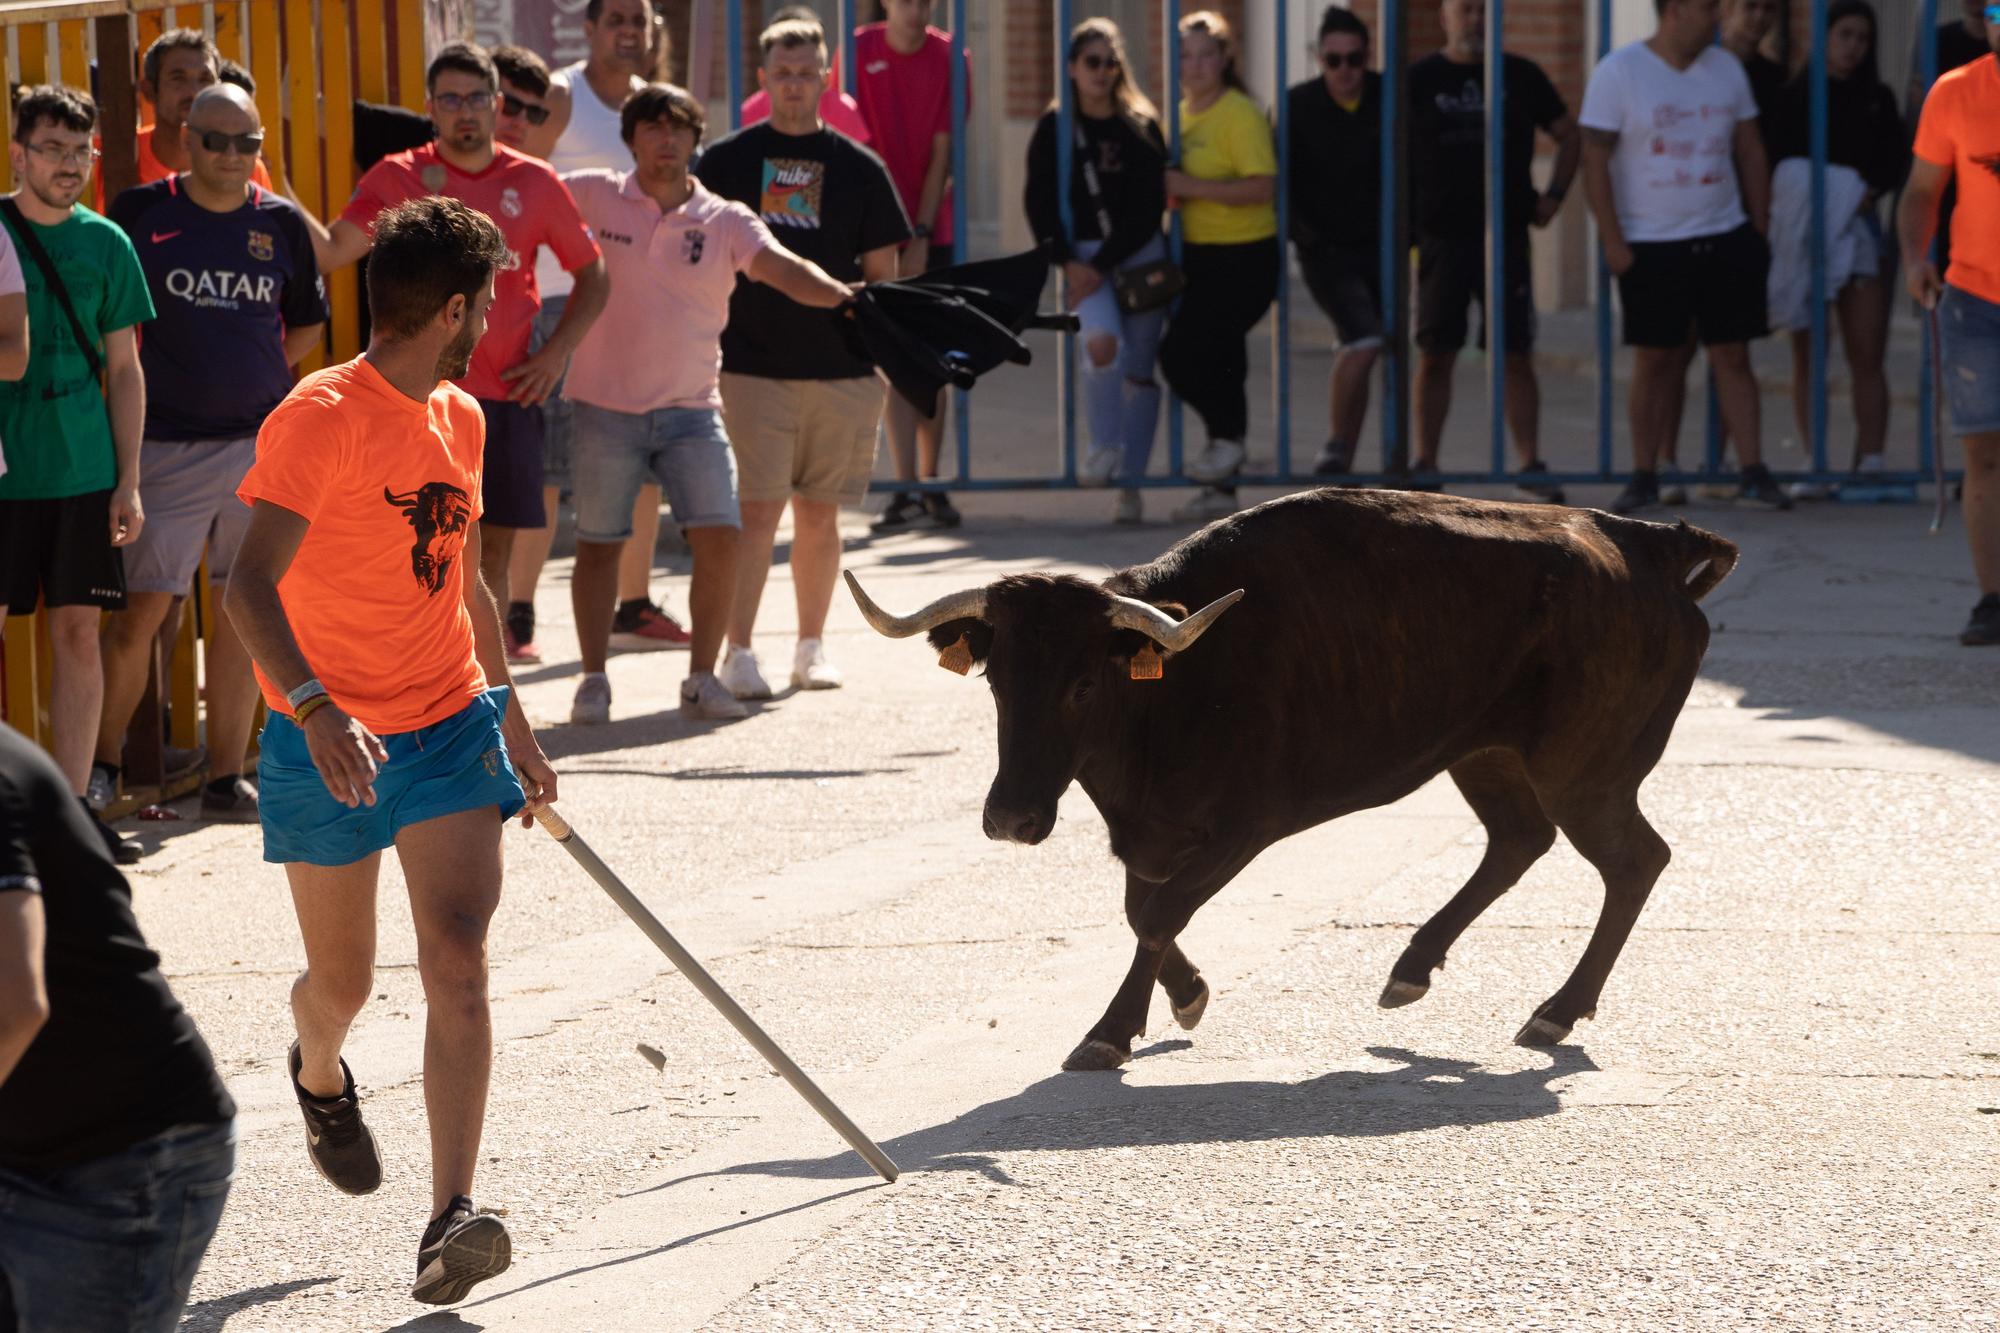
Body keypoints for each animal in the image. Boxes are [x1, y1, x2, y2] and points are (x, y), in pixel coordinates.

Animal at [844, 488, 1736, 1072]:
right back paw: (1414, 968)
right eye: (995, 679)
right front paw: (1184, 993)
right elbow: (1141, 910)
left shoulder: (1243, 826)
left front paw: (1112, 1028)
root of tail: (1649, 546)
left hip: (1584, 770)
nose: (1012, 818)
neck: (1174, 687)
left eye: (1084, 684)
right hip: (1486, 754)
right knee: (1519, 839)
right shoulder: (1152, 833)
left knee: (1633, 860)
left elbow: (1158, 912)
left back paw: (1554, 1011)